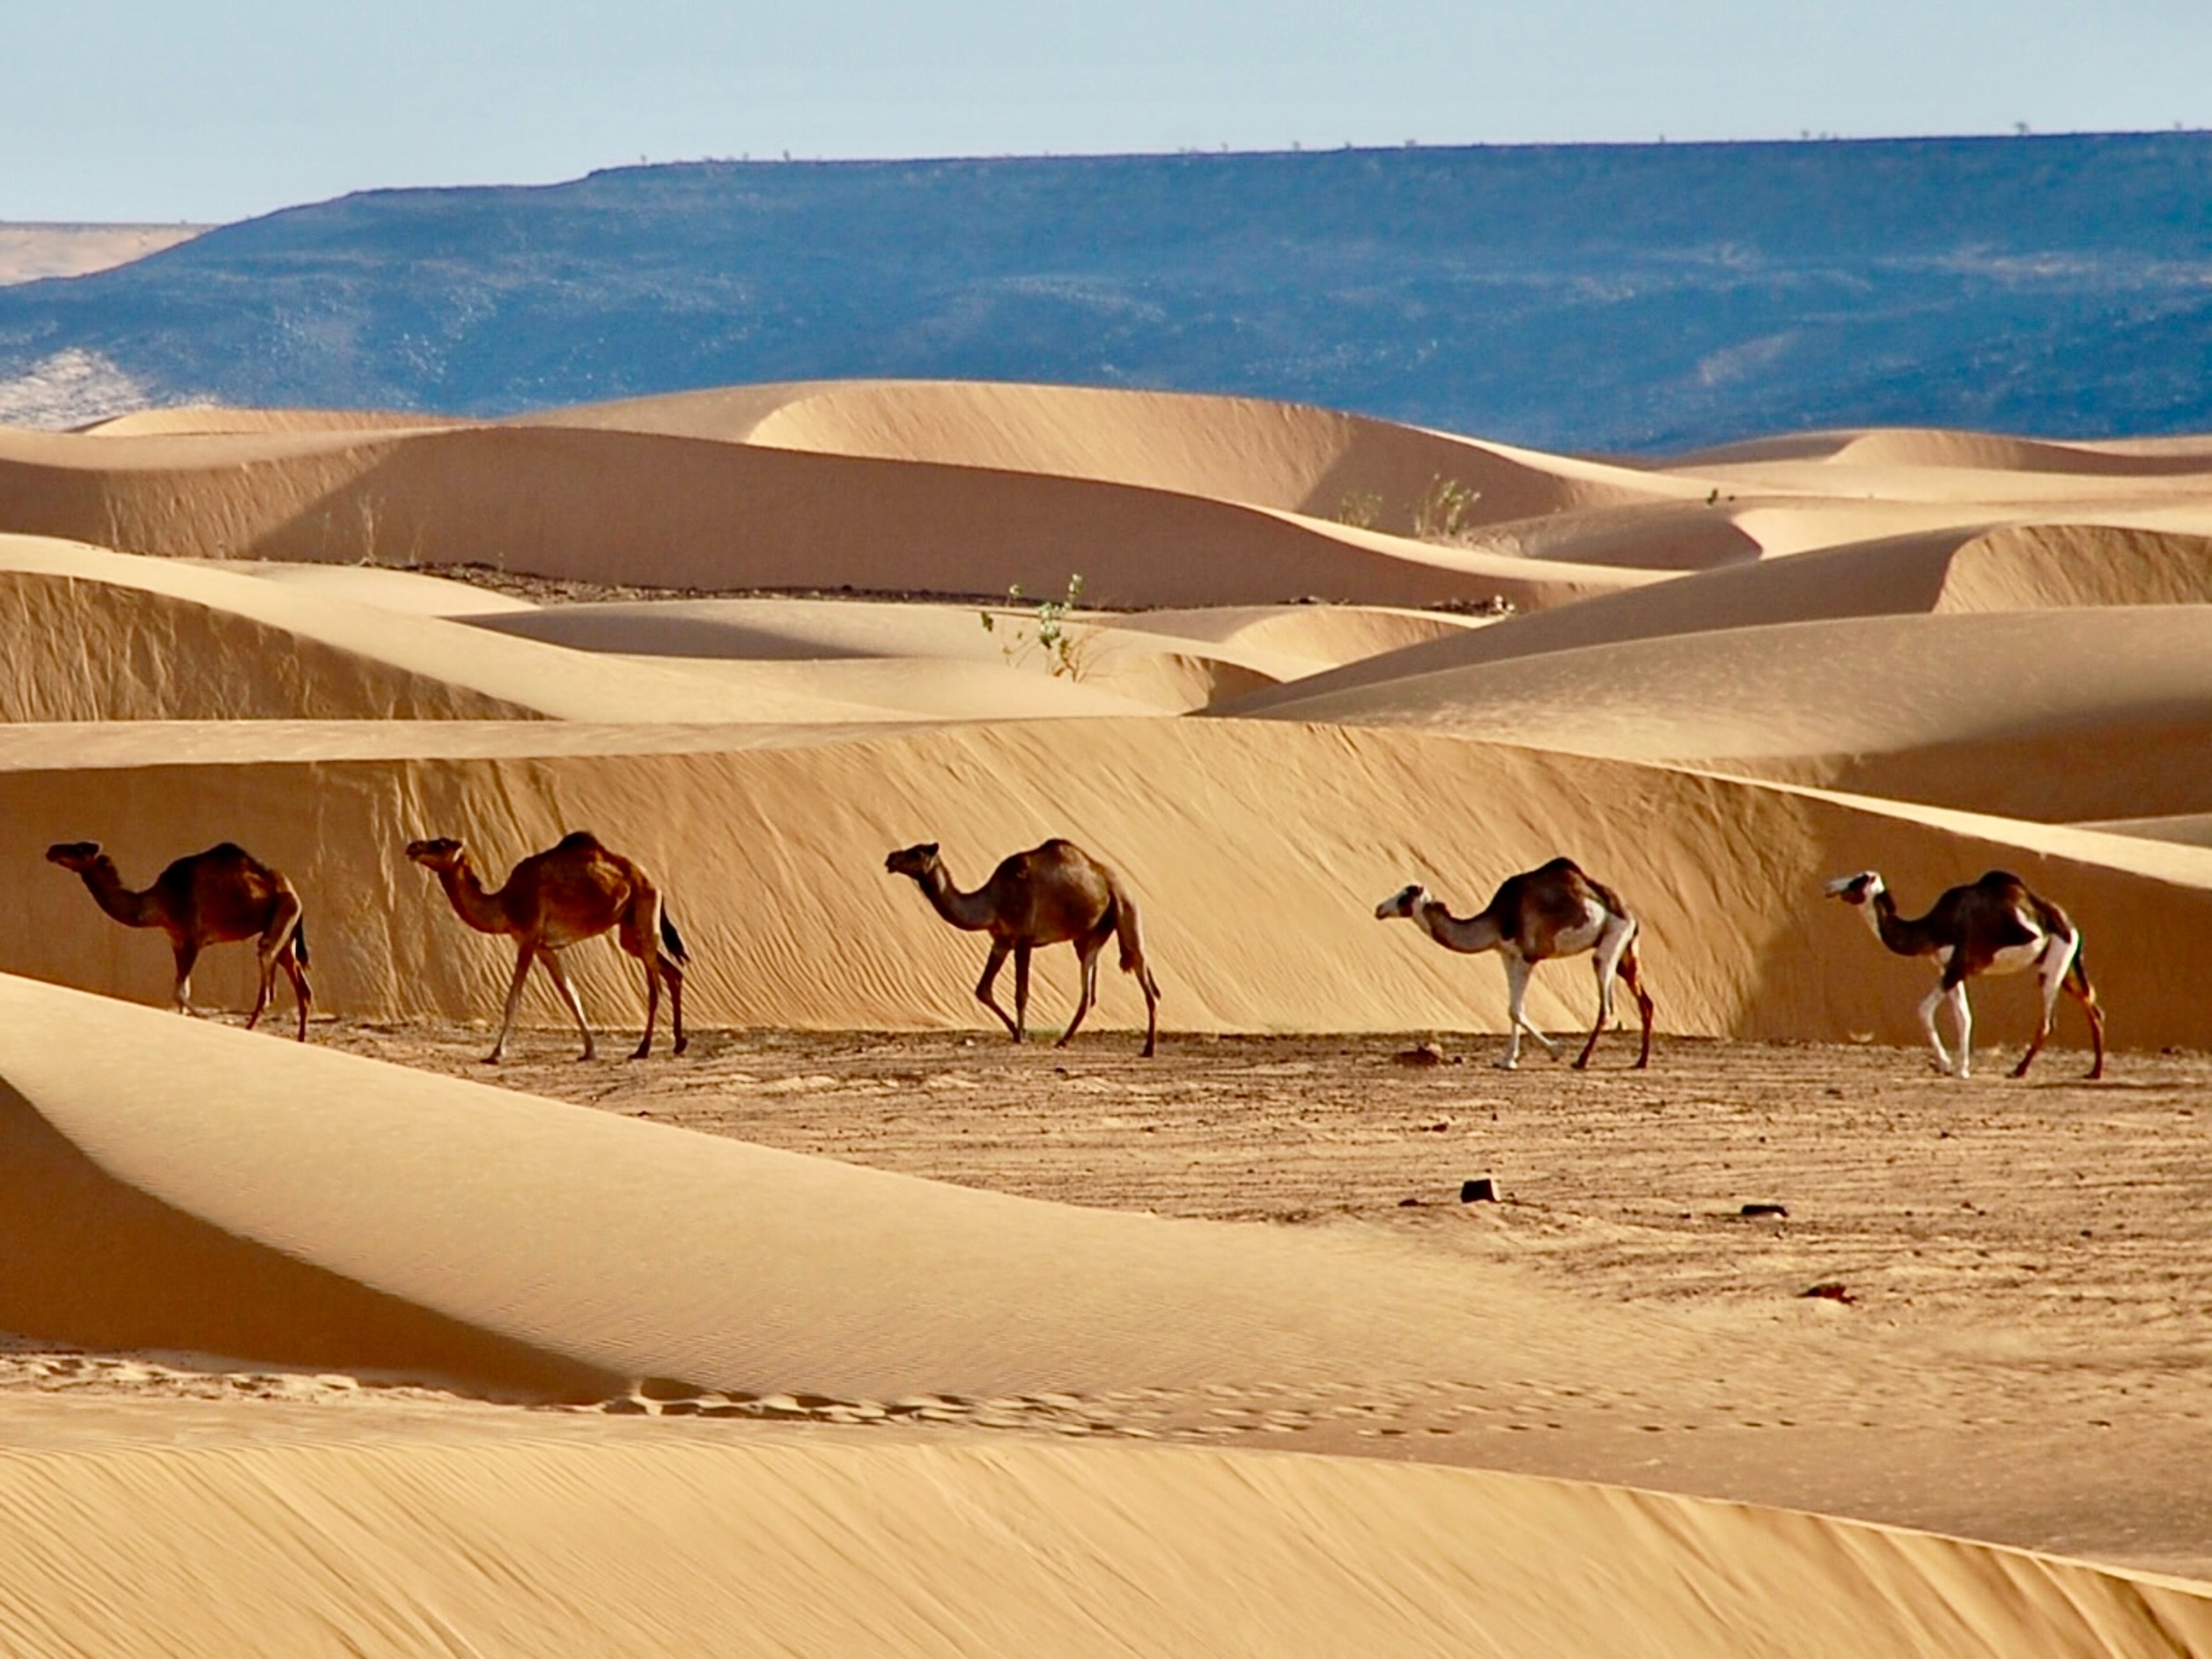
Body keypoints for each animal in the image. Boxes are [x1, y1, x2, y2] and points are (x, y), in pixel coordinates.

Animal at [48, 836, 313, 1043]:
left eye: (80, 849)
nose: (52, 850)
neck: (158, 902)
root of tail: (292, 890)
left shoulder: (192, 937)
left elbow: (179, 992)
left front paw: (210, 1018)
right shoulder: (175, 941)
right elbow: (183, 991)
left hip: (284, 912)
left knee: (268, 970)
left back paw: (249, 1030)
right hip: (285, 930)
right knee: (301, 985)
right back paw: (301, 1040)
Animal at [404, 831, 681, 1065]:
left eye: (441, 843)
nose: (413, 846)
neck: (504, 904)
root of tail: (655, 884)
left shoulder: (527, 939)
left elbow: (513, 999)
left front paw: (496, 1053)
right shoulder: (544, 947)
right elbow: (571, 994)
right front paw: (590, 1051)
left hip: (644, 913)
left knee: (655, 987)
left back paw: (643, 1049)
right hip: (629, 930)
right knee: (672, 971)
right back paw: (679, 1043)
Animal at [884, 836, 1168, 1057]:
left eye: (917, 852)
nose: (890, 858)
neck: (992, 901)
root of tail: (1116, 882)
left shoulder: (1023, 939)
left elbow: (1021, 993)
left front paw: (1021, 1034)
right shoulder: (1001, 941)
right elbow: (982, 989)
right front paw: (1016, 1031)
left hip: (1127, 911)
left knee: (1144, 975)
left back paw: (1148, 1049)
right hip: (1089, 936)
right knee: (1089, 991)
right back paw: (1063, 1040)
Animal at [1371, 858, 1654, 1079]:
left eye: (1404, 896)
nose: (1378, 909)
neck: (1498, 920)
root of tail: (1630, 913)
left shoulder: (1526, 957)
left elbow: (1515, 1010)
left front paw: (1555, 1051)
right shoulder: (1507, 955)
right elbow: (1513, 1009)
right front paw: (1507, 1060)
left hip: (1612, 940)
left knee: (1606, 1004)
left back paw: (1581, 1060)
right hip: (1626, 951)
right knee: (1645, 1002)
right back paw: (1640, 1062)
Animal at [1822, 871, 2114, 1092]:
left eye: (1857, 879)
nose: (1829, 886)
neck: (1934, 928)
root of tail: (2070, 925)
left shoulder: (1958, 965)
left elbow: (1923, 1009)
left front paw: (1946, 1065)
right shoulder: (1952, 969)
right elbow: (1964, 1016)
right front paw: (1962, 1068)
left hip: (2053, 967)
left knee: (2048, 1021)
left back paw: (2018, 1071)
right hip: (2067, 967)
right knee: (2094, 1009)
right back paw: (2095, 1072)